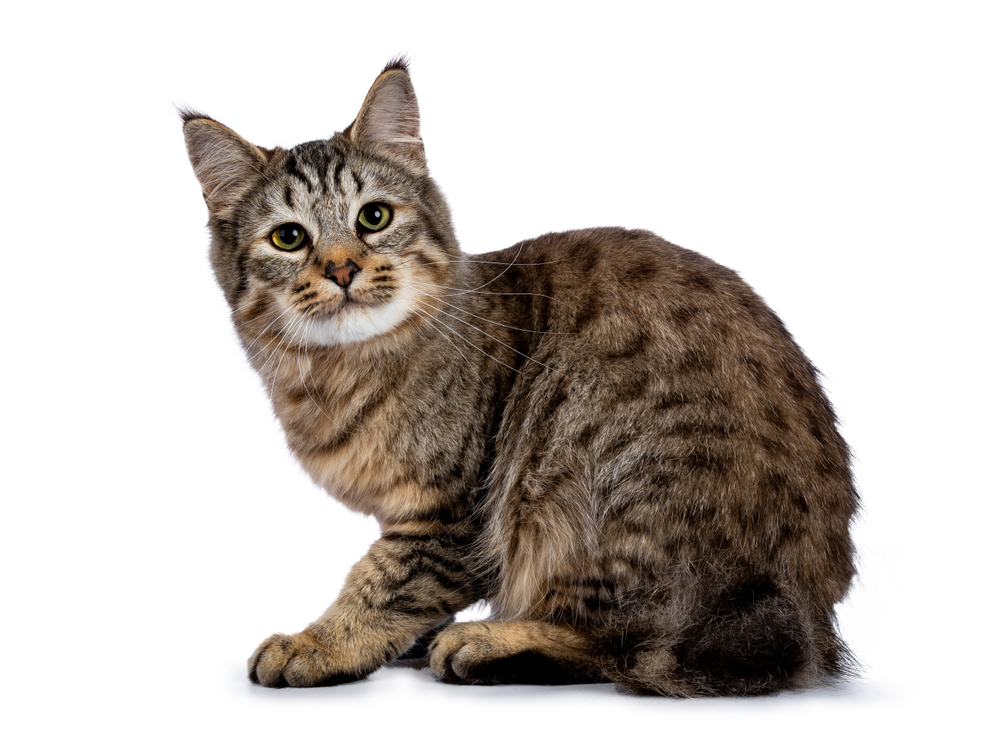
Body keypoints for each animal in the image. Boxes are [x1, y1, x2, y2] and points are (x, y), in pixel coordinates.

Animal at [184, 60, 856, 700]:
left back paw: (487, 643)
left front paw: (322, 644)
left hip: (581, 485)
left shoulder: (453, 515)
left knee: (622, 643)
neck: (338, 373)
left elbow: (385, 583)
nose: (342, 268)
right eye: (289, 238)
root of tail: (813, 613)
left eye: (373, 217)